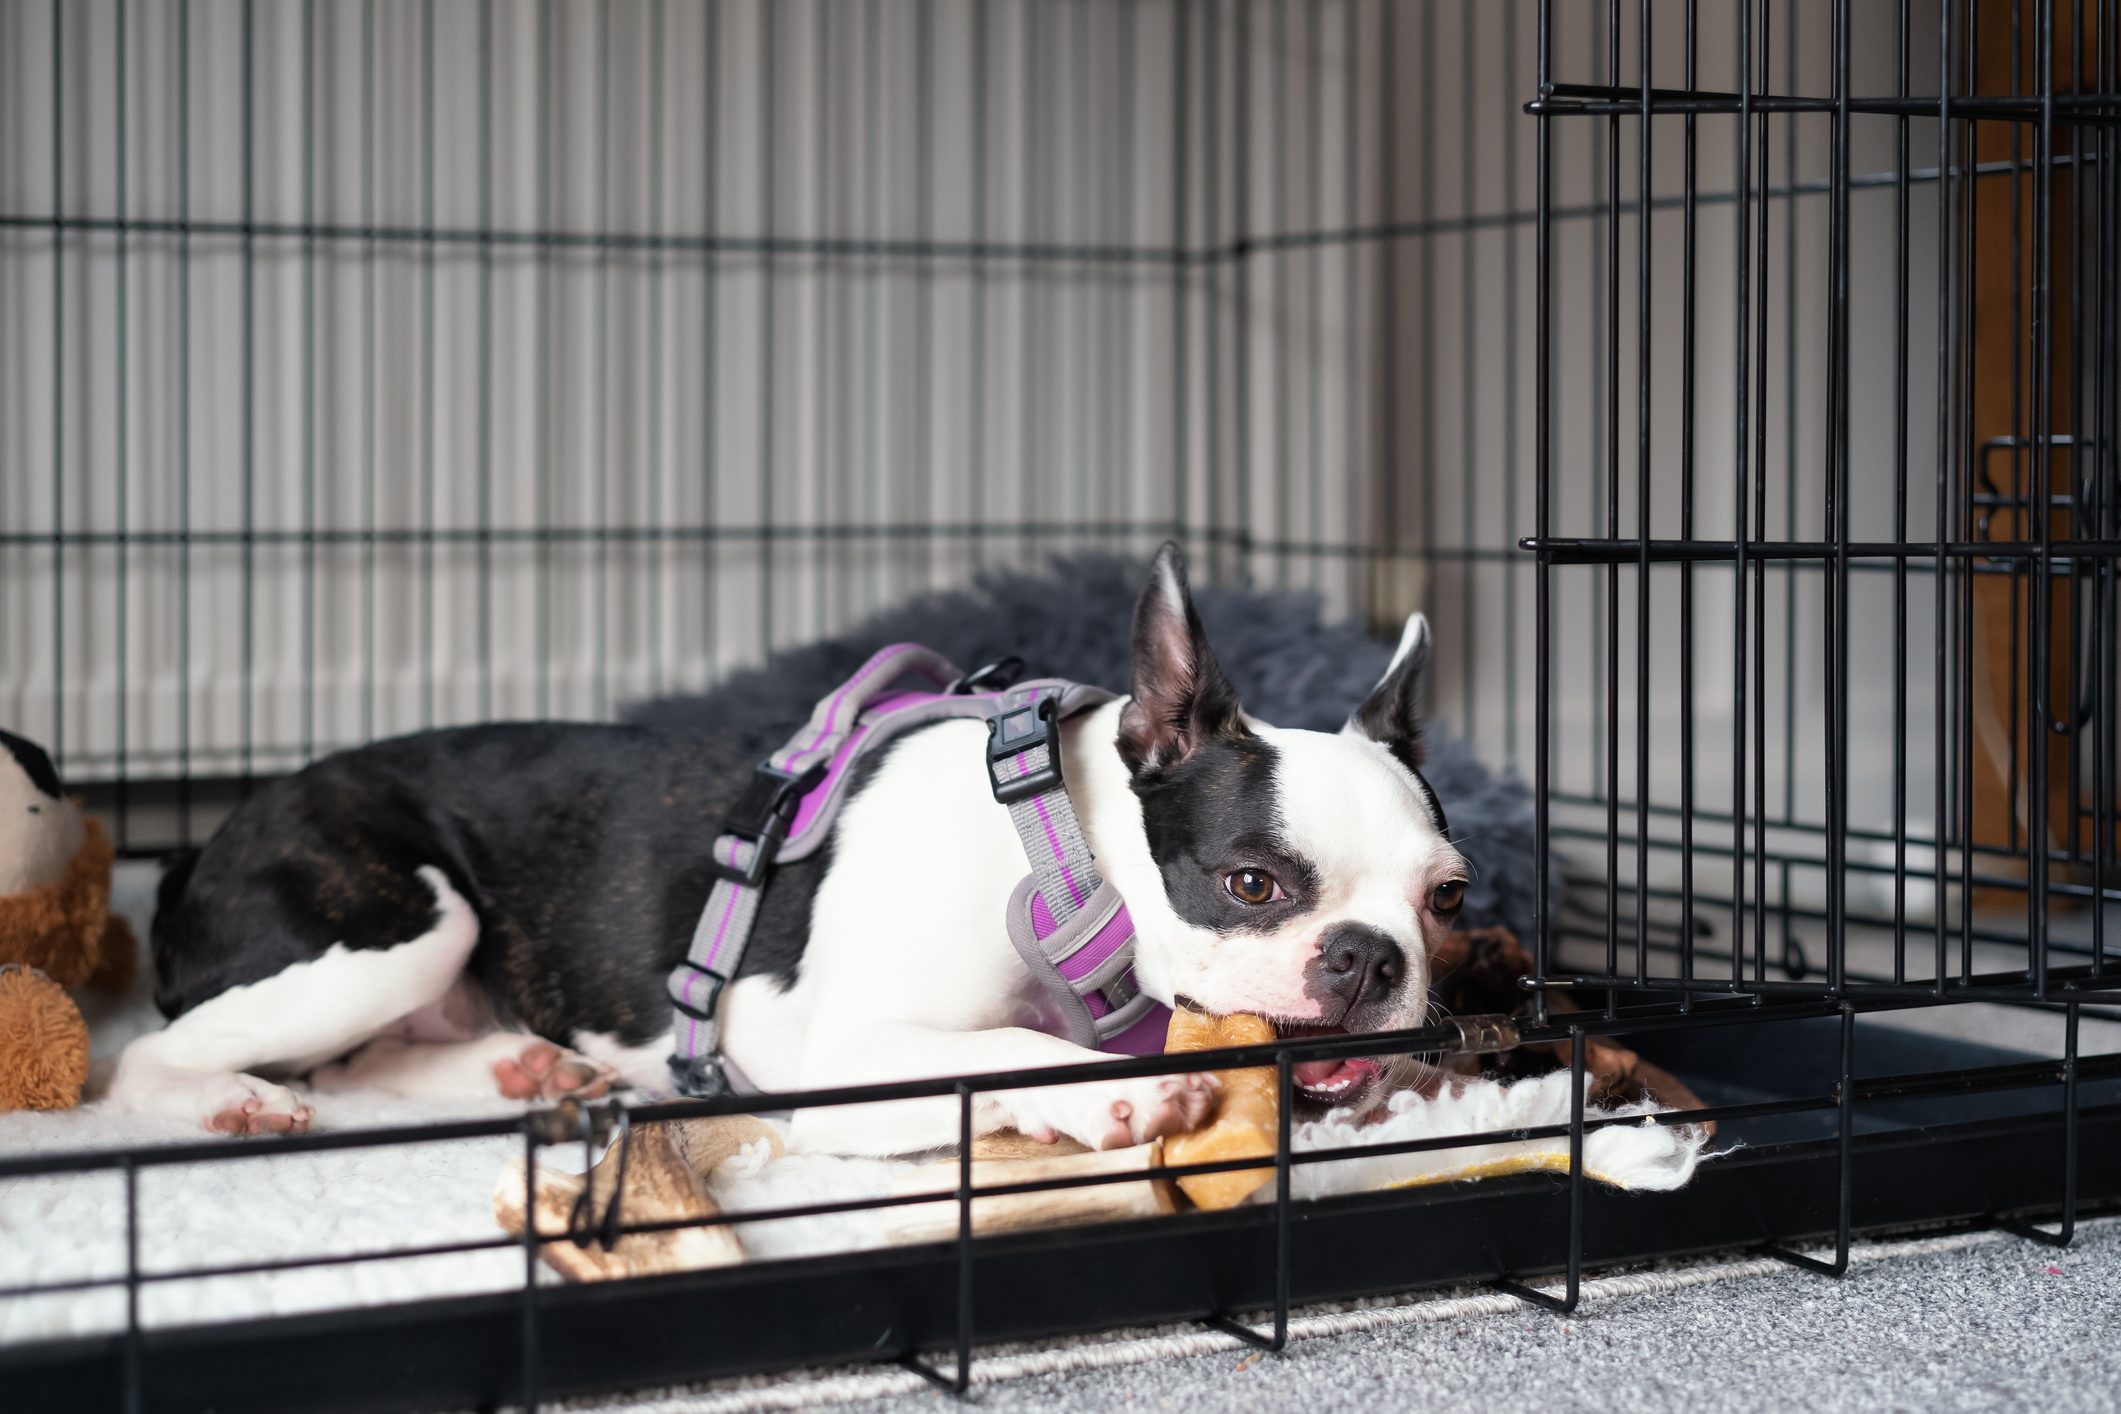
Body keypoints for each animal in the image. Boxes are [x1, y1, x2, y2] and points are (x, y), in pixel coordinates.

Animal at [111, 546, 1459, 1153]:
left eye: (1445, 900)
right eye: (1251, 884)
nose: (1367, 959)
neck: (1058, 848)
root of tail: (196, 852)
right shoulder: (835, 1052)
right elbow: (1003, 1056)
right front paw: (1114, 1087)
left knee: (357, 1066)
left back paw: (526, 1070)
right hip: (403, 920)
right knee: (155, 1058)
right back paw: (231, 1097)